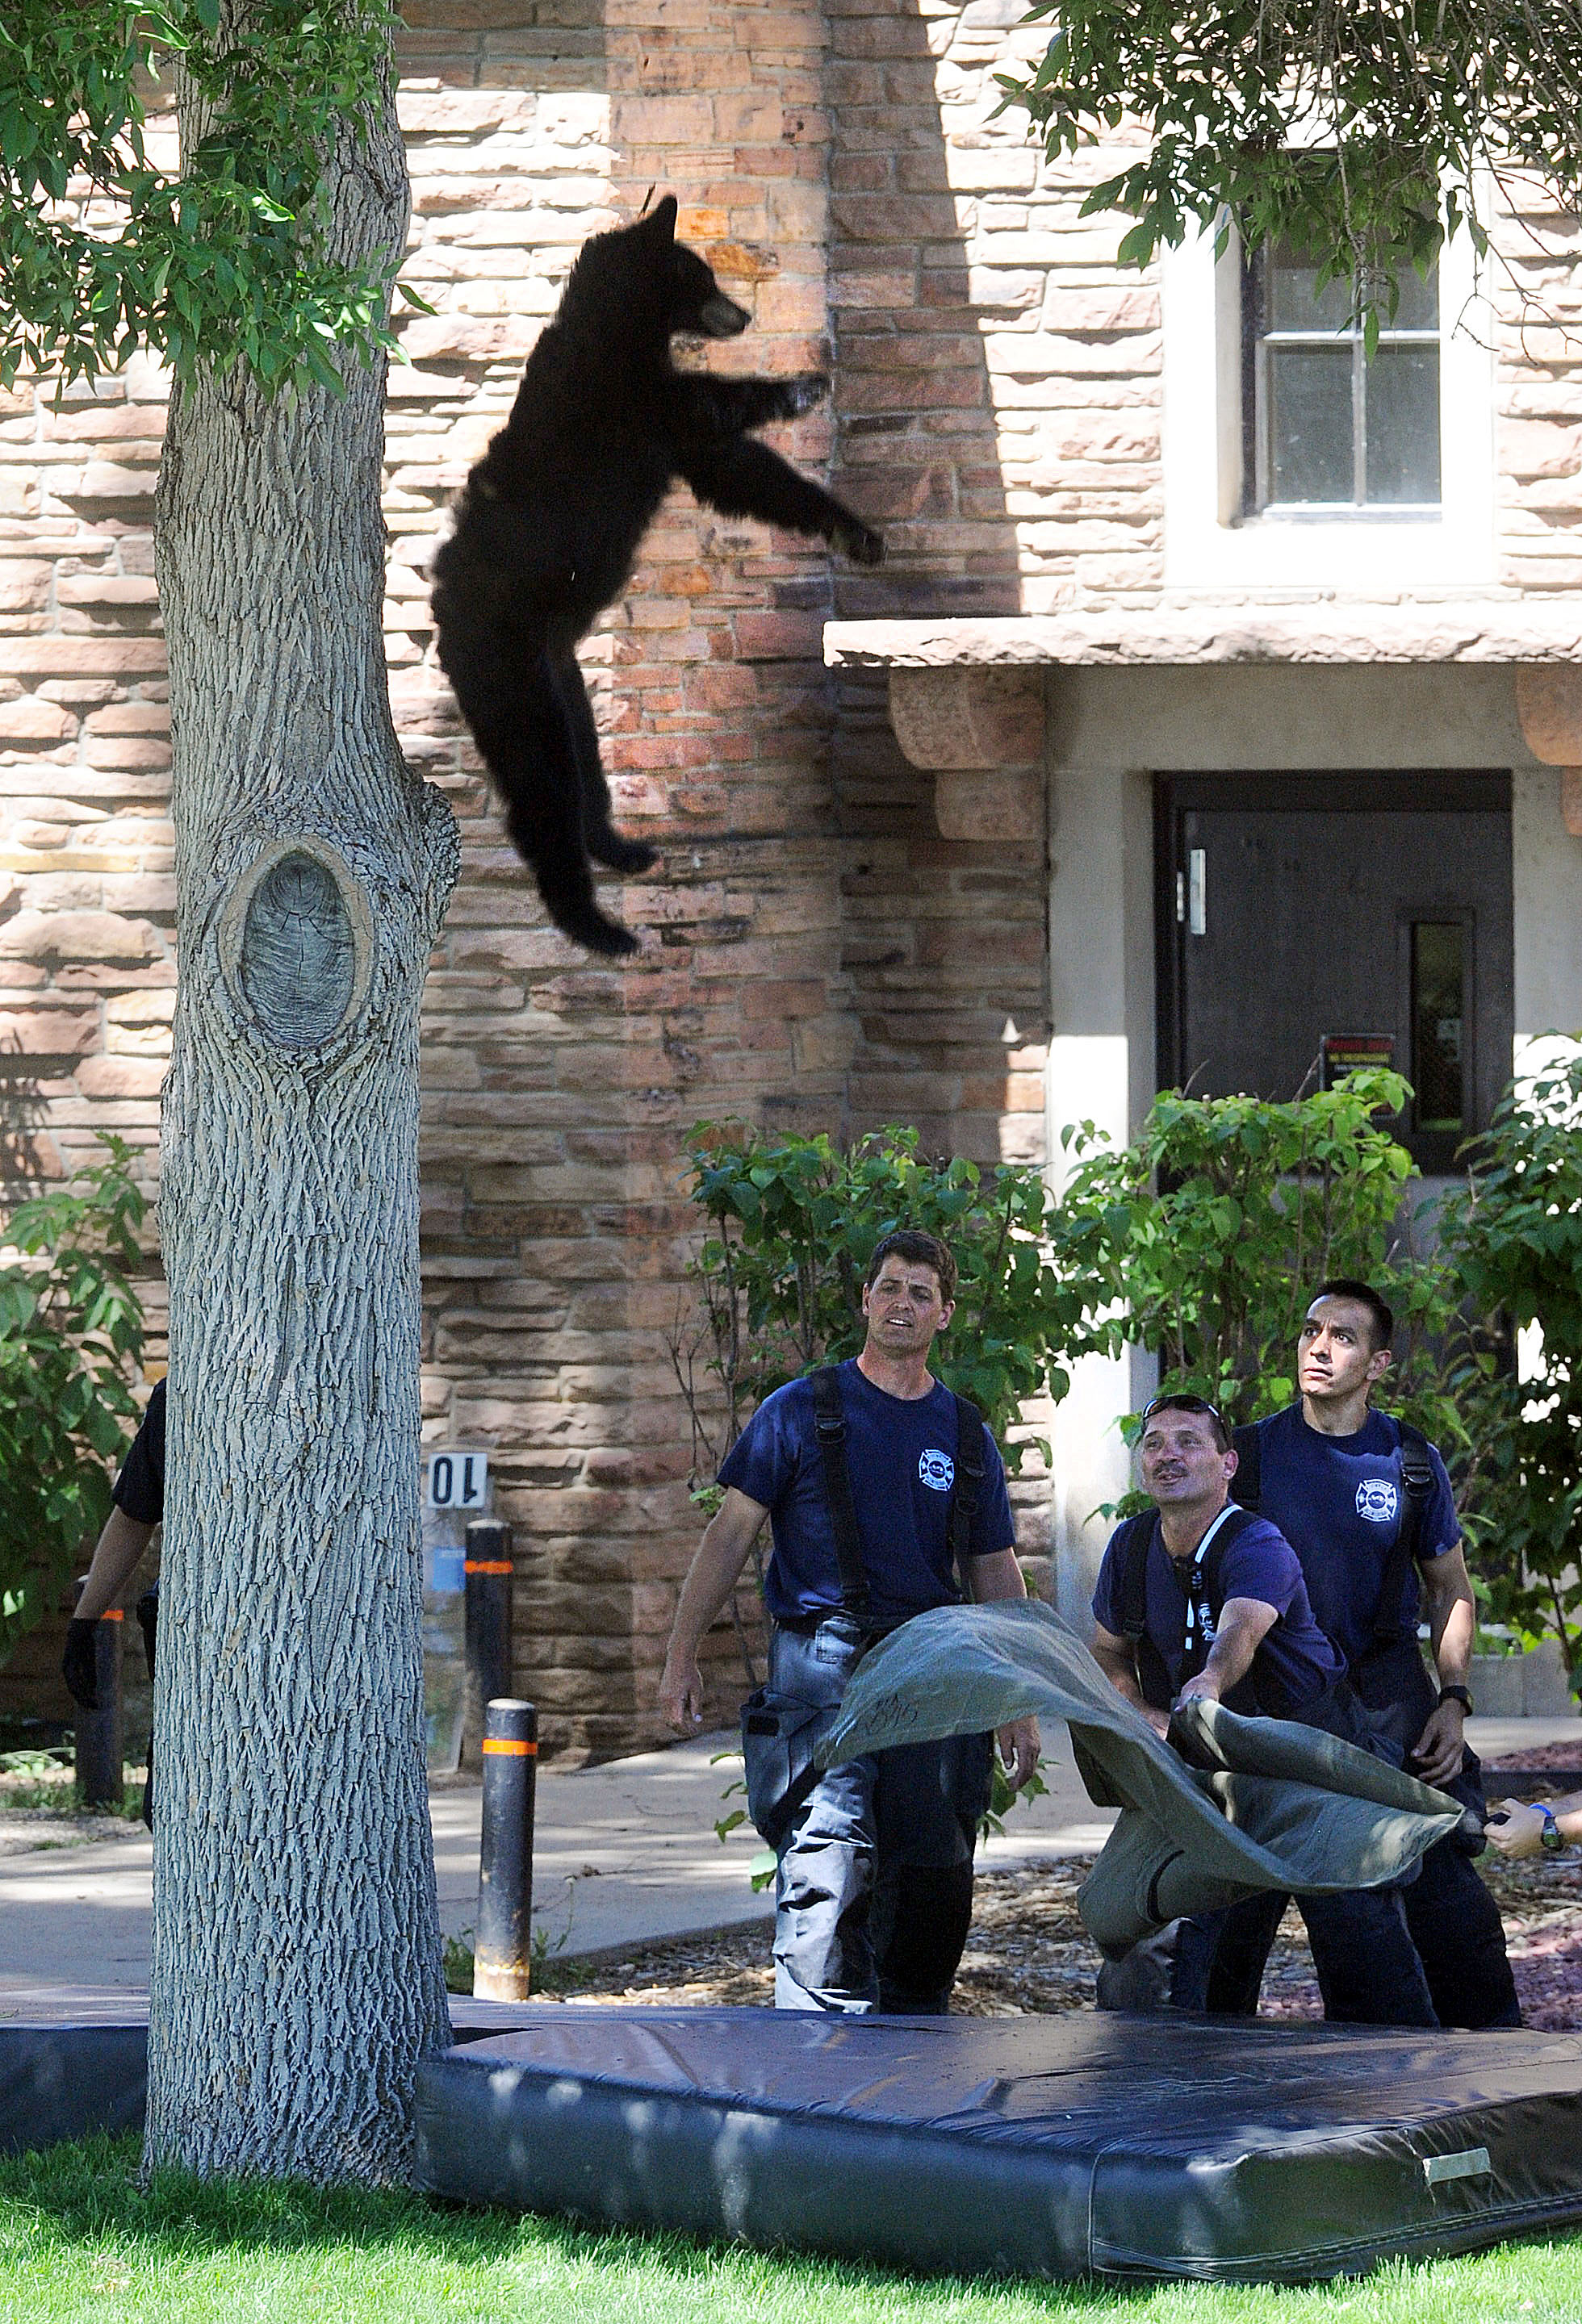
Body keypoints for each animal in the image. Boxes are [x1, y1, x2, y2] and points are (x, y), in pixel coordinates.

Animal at [429, 194, 884, 958]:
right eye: (702, 274)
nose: (745, 315)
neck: (617, 328)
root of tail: (441, 607)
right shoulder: (624, 398)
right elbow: (707, 406)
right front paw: (801, 386)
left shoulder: (662, 428)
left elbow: (742, 471)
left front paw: (857, 532)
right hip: (510, 670)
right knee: (543, 787)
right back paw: (599, 927)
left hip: (563, 677)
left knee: (586, 765)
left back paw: (622, 847)